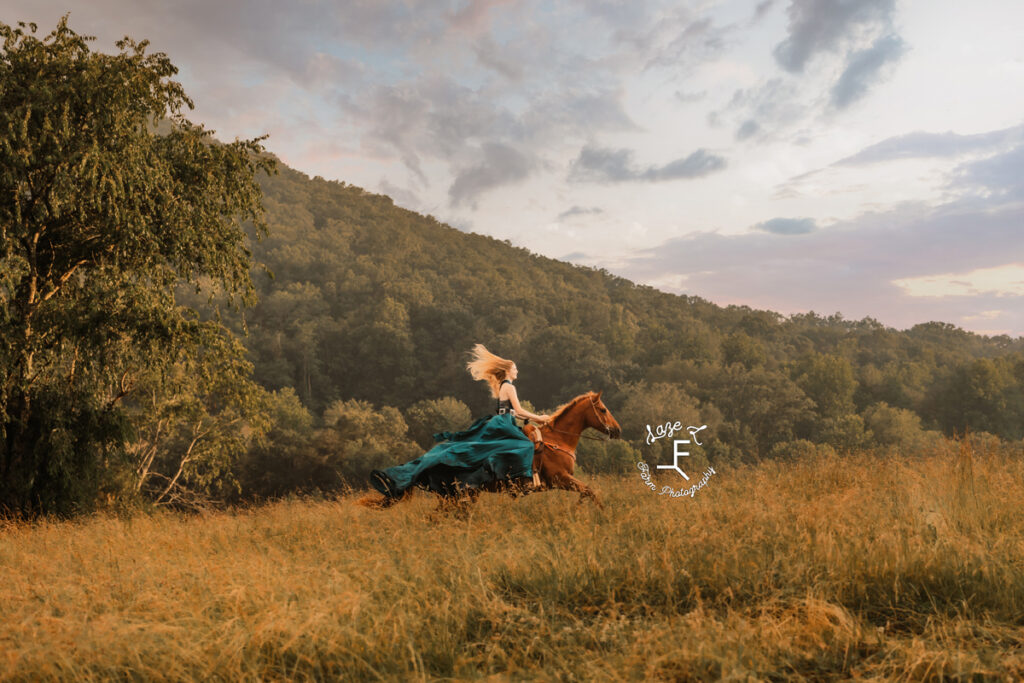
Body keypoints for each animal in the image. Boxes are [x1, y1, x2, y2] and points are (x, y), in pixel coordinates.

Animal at [356, 389, 618, 511]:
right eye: (603, 409)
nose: (617, 430)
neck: (558, 440)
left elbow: (588, 491)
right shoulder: (560, 479)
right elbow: (590, 491)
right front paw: (599, 513)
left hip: (456, 496)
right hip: (457, 495)